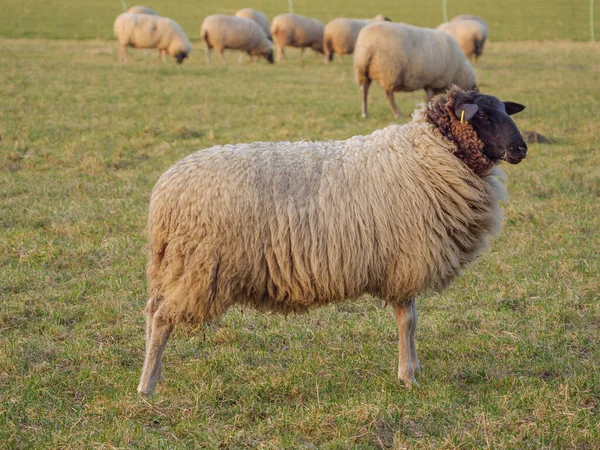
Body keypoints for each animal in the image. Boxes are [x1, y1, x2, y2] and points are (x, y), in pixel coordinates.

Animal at [137, 86, 528, 396]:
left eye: (504, 110)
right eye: (485, 116)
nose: (521, 149)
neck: (427, 154)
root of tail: (166, 187)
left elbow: (413, 319)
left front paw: (414, 367)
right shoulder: (404, 260)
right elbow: (408, 321)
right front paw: (407, 376)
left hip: (175, 266)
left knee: (151, 311)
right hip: (197, 266)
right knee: (162, 318)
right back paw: (147, 386)